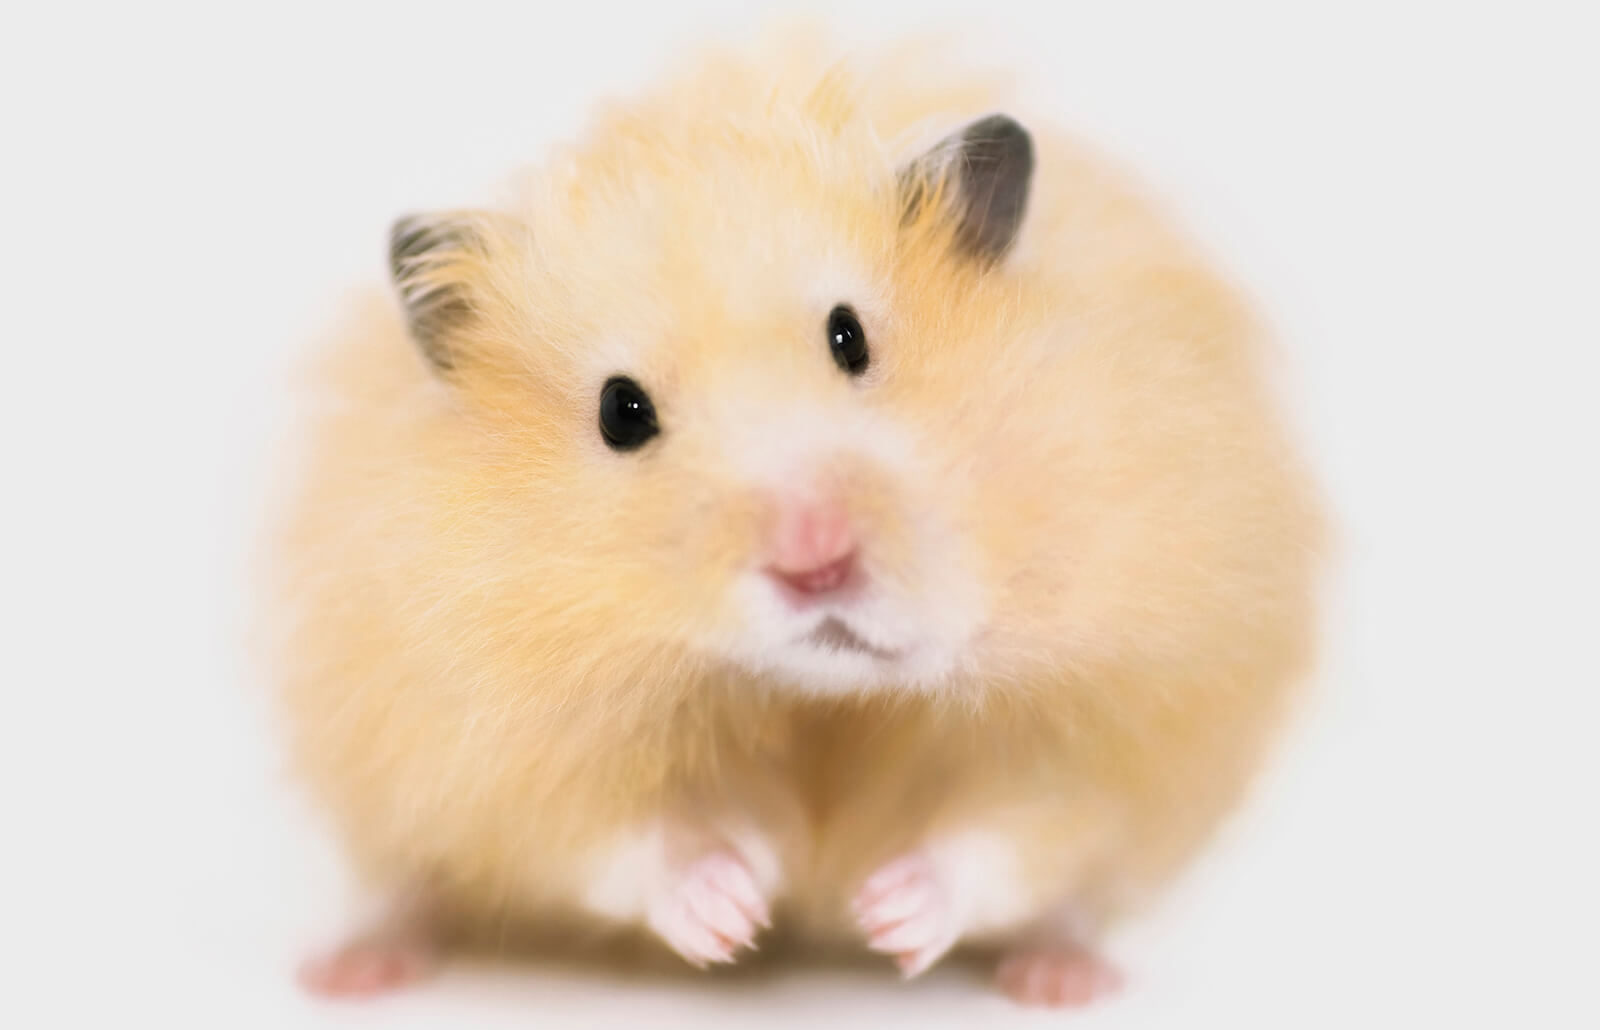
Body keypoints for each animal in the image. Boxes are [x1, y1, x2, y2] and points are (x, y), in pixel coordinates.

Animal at [268, 35, 1322, 1007]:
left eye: (850, 339)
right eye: (621, 412)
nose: (815, 563)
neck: (818, 698)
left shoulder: (1107, 712)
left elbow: (1011, 832)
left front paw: (885, 911)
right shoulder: (492, 742)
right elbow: (616, 844)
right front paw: (739, 901)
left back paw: (1061, 978)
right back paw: (350, 969)